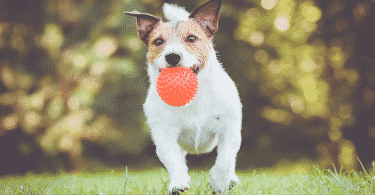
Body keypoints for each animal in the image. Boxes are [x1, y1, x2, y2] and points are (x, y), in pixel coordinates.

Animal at [126, 0, 244, 194]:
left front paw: (219, 182)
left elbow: (226, 158)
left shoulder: (229, 128)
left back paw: (231, 179)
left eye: (192, 38)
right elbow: (172, 158)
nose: (172, 56)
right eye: (158, 41)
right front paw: (179, 183)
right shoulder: (163, 133)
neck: (189, 95)